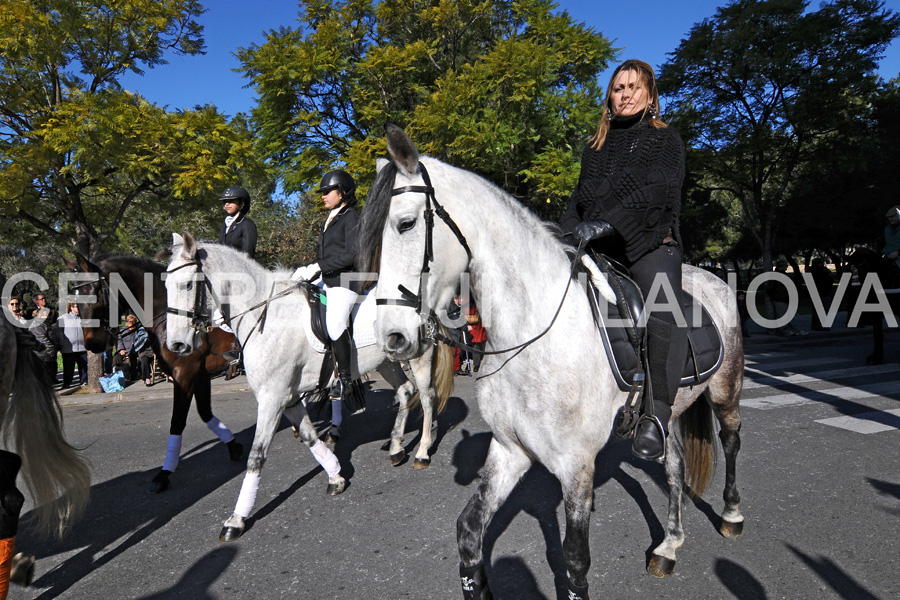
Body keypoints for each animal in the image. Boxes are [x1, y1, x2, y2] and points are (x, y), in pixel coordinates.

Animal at [65, 253, 244, 492]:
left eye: (95, 294)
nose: (92, 344)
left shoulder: (184, 374)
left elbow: (177, 422)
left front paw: (164, 474)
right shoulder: (200, 375)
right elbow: (206, 414)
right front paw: (233, 446)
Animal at [164, 236, 454, 544]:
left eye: (187, 285)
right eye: (166, 285)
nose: (176, 346)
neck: (265, 315)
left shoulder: (272, 399)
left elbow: (256, 456)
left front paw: (237, 519)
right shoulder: (289, 398)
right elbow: (309, 436)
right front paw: (336, 476)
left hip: (419, 357)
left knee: (427, 397)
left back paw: (422, 451)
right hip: (387, 361)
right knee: (406, 391)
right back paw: (397, 447)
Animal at [358, 124, 744, 596]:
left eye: (406, 224)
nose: (391, 337)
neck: (531, 334)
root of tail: (709, 276)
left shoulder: (575, 466)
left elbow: (575, 560)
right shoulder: (510, 451)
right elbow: (469, 532)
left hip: (725, 390)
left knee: (730, 439)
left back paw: (731, 515)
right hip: (669, 411)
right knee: (672, 466)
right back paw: (668, 546)